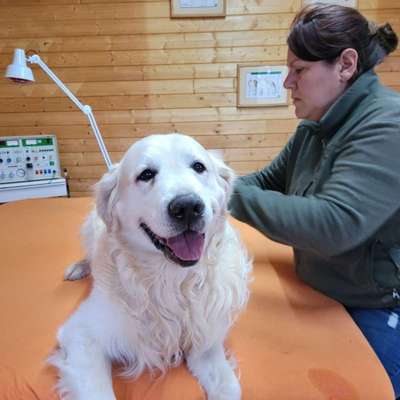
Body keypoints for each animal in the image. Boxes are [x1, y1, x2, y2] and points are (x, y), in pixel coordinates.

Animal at [48, 134, 250, 400]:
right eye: (146, 174)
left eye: (199, 167)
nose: (187, 206)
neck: (173, 281)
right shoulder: (81, 335)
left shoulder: (206, 342)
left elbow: (230, 388)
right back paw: (79, 268)